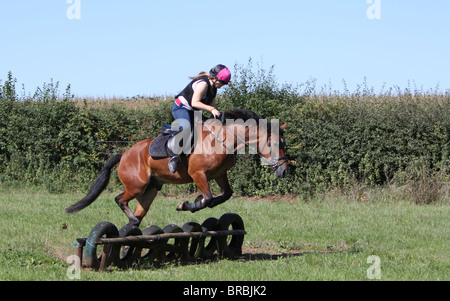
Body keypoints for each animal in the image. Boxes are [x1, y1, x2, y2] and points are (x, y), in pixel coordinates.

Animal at [65, 109, 290, 226]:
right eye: (275, 143)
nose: (284, 170)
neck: (224, 139)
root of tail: (125, 154)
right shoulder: (198, 174)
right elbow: (208, 198)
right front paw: (186, 204)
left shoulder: (219, 174)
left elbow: (224, 195)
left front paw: (196, 201)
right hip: (136, 185)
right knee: (119, 199)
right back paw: (133, 220)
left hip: (149, 190)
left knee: (137, 210)